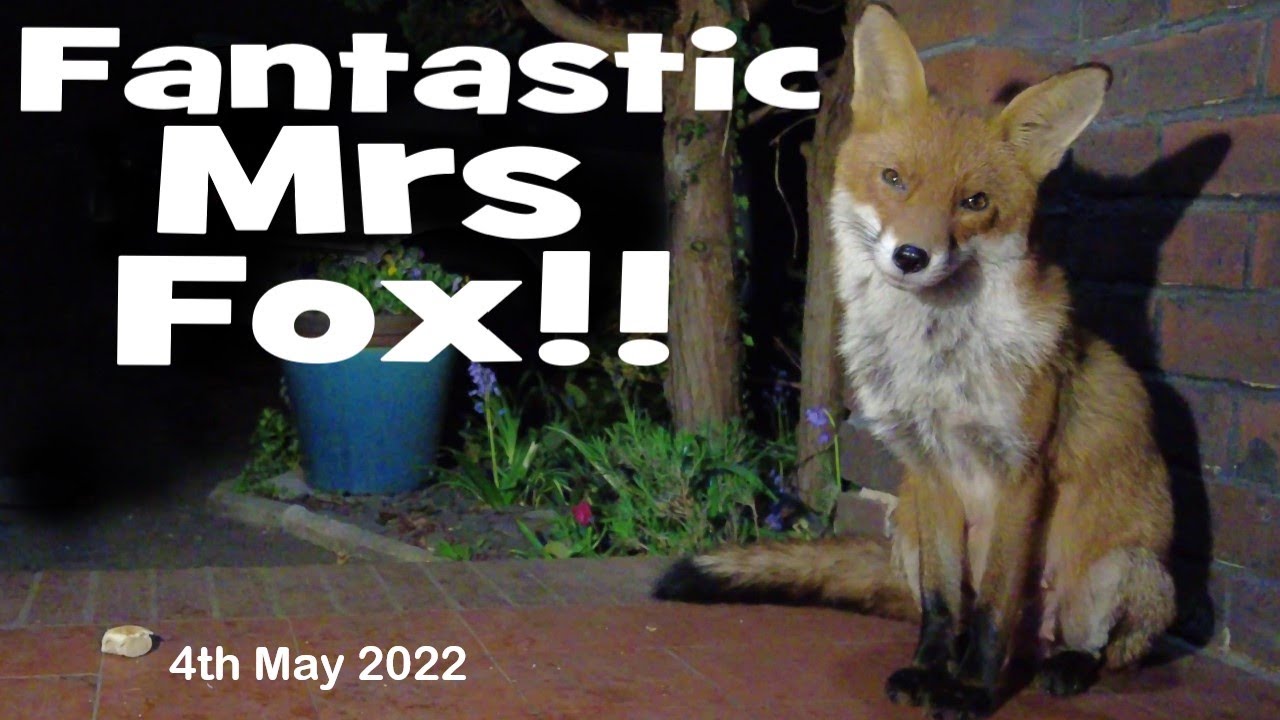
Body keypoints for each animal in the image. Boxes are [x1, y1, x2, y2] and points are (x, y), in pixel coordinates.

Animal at [653, 4, 1177, 718]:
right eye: (894, 179)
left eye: (974, 202)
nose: (910, 256)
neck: (934, 364)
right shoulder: (929, 470)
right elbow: (943, 604)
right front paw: (931, 671)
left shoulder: (1021, 472)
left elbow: (993, 608)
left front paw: (973, 690)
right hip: (903, 524)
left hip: (1118, 569)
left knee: (1094, 644)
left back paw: (1064, 666)